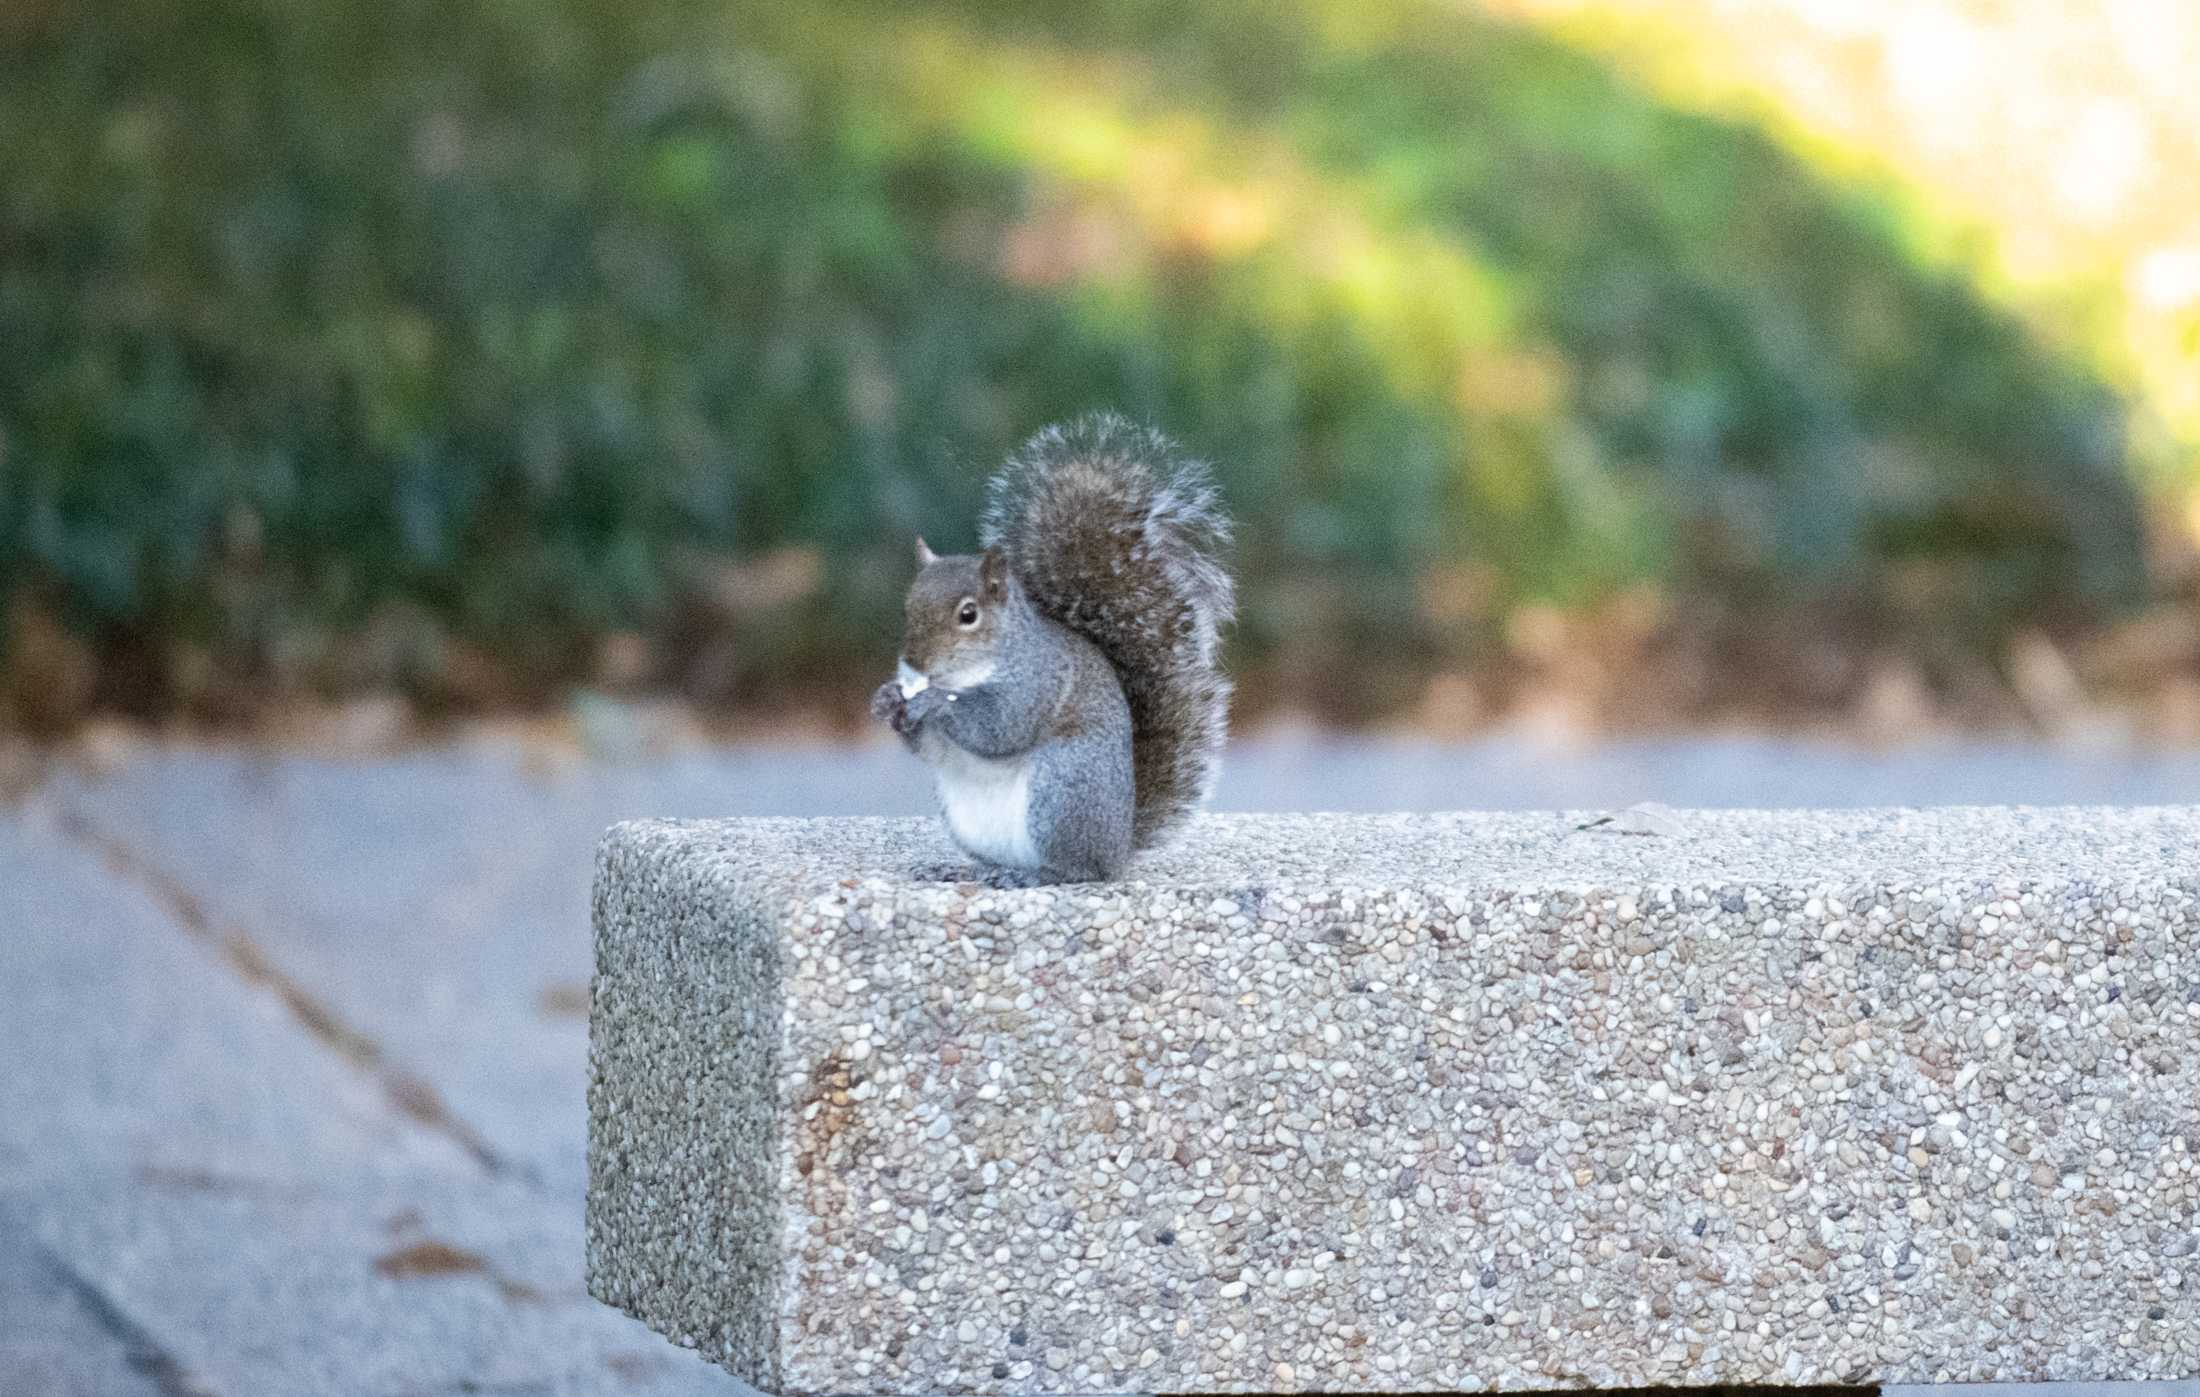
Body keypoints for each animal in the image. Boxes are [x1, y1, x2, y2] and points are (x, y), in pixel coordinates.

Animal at [866, 409, 1232, 880]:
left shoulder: (1037, 682)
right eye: (907, 607)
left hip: (1061, 788)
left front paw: (933, 702)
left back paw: (1034, 876)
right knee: (999, 860)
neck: (965, 673)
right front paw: (886, 699)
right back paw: (971, 871)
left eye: (968, 614)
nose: (914, 662)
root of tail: (1117, 848)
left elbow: (999, 727)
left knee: (1076, 870)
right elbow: (927, 747)